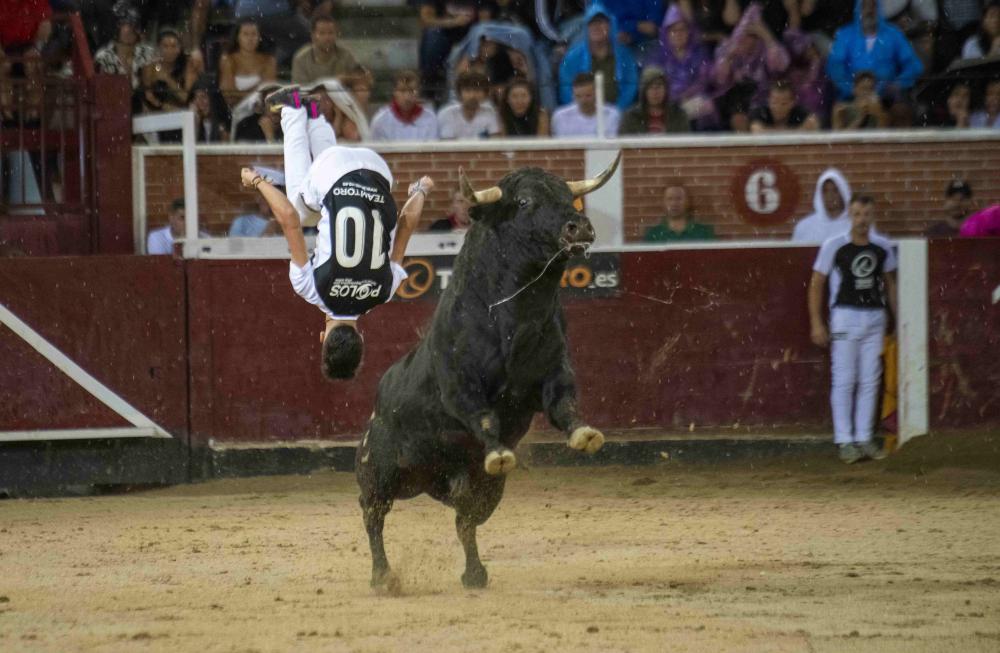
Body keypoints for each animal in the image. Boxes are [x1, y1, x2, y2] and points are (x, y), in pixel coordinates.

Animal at [356, 155, 612, 588]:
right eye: (524, 201)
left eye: (568, 196)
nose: (578, 227)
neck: (513, 318)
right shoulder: (460, 388)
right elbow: (485, 416)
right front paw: (499, 452)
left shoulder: (554, 373)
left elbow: (566, 406)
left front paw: (585, 434)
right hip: (379, 471)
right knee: (374, 515)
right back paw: (382, 576)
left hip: (482, 490)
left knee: (465, 523)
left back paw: (474, 573)